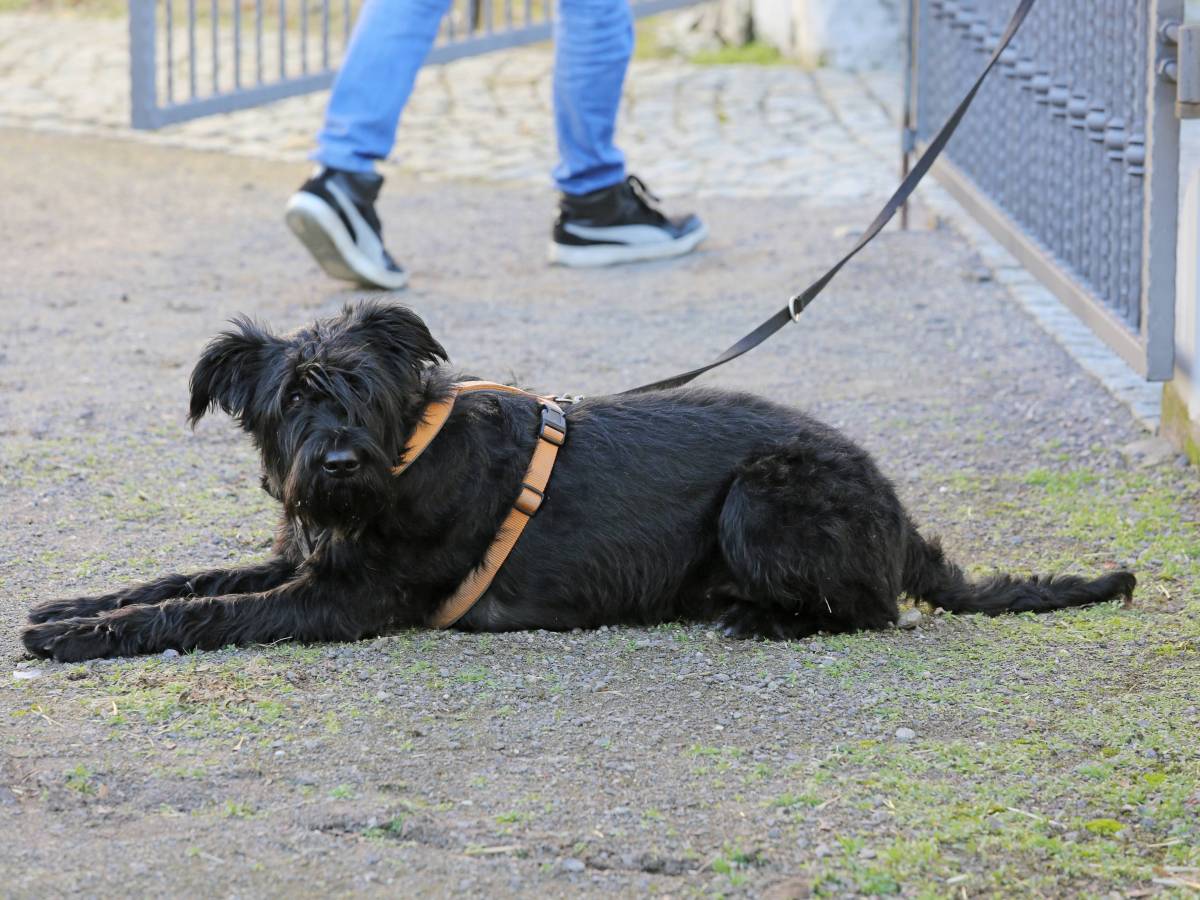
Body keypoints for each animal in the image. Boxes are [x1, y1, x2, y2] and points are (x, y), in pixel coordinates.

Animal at [25, 303, 1132, 662]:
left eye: (364, 390)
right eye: (289, 399)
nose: (336, 464)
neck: (403, 456)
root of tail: (899, 517)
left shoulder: (346, 598)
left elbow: (203, 611)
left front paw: (78, 641)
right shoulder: (299, 556)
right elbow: (180, 582)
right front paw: (68, 609)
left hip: (763, 495)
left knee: (868, 610)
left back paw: (755, 616)